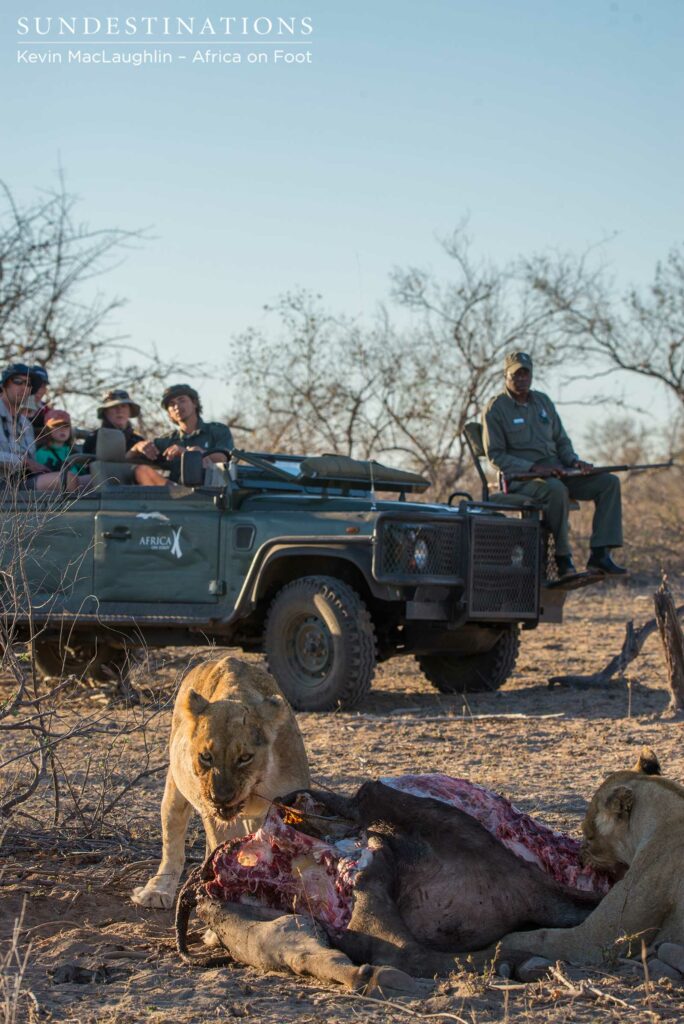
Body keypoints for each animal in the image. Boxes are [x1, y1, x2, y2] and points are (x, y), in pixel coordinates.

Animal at [132, 655, 310, 910]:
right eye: (206, 757)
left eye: (245, 757)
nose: (221, 798)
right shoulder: (217, 818)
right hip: (175, 788)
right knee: (173, 844)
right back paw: (158, 890)